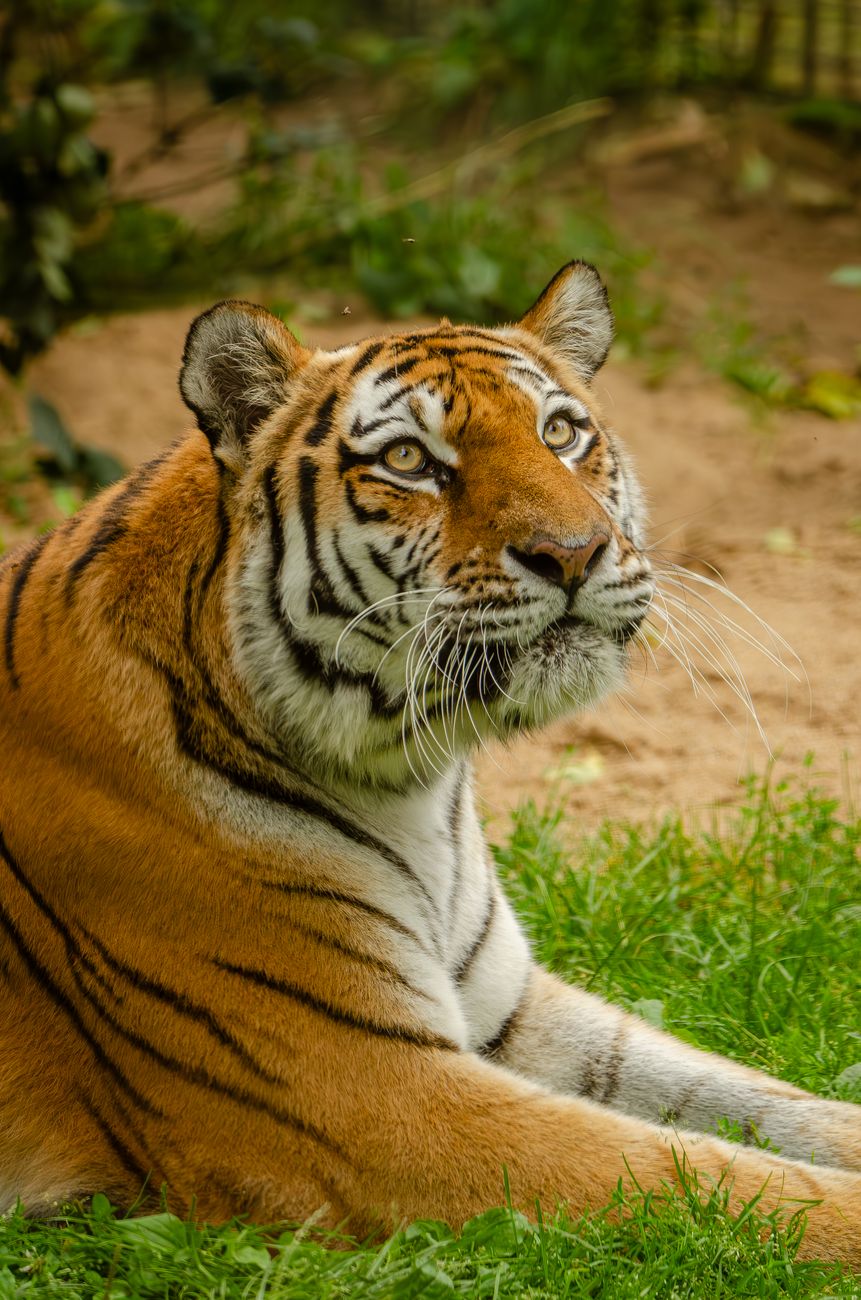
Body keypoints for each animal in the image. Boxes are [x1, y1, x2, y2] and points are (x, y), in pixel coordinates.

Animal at [1, 260, 860, 1265]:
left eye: (560, 433)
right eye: (410, 461)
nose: (572, 553)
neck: (409, 780)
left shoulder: (509, 1008)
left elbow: (755, 1102)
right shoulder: (372, 1094)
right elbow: (702, 1178)